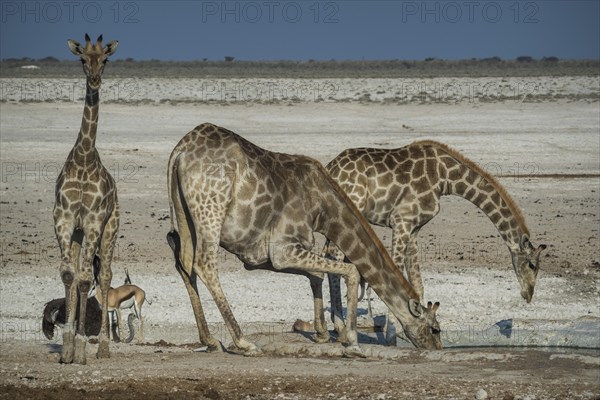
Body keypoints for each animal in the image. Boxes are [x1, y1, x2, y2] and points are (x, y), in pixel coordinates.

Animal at [166, 122, 442, 356]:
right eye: (434, 328)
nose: (437, 347)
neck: (324, 209)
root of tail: (181, 151)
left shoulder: (262, 257)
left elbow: (317, 274)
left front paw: (323, 333)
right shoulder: (283, 248)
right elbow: (352, 270)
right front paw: (351, 341)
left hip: (184, 216)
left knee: (184, 263)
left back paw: (210, 340)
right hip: (211, 211)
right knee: (204, 264)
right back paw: (243, 342)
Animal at [324, 140, 548, 340]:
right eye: (532, 265)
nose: (528, 294)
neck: (445, 178)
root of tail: (331, 167)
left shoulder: (414, 228)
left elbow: (417, 282)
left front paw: (414, 325)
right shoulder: (402, 220)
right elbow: (396, 272)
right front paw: (391, 333)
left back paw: (333, 327)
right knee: (334, 259)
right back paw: (340, 328)